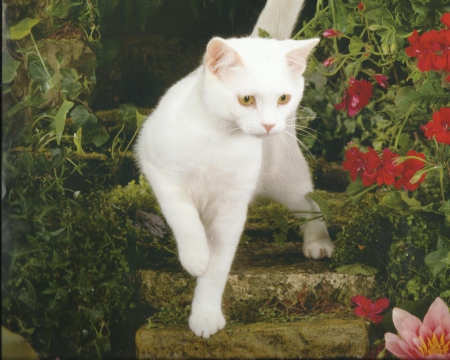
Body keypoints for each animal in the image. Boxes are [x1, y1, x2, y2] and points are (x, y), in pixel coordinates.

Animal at [134, 0, 334, 338]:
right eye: (246, 99)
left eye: (283, 98)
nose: (268, 124)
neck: (218, 142)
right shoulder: (158, 169)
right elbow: (183, 215)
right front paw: (196, 256)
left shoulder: (231, 209)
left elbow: (218, 267)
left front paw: (205, 314)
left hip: (285, 176)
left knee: (310, 202)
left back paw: (318, 242)